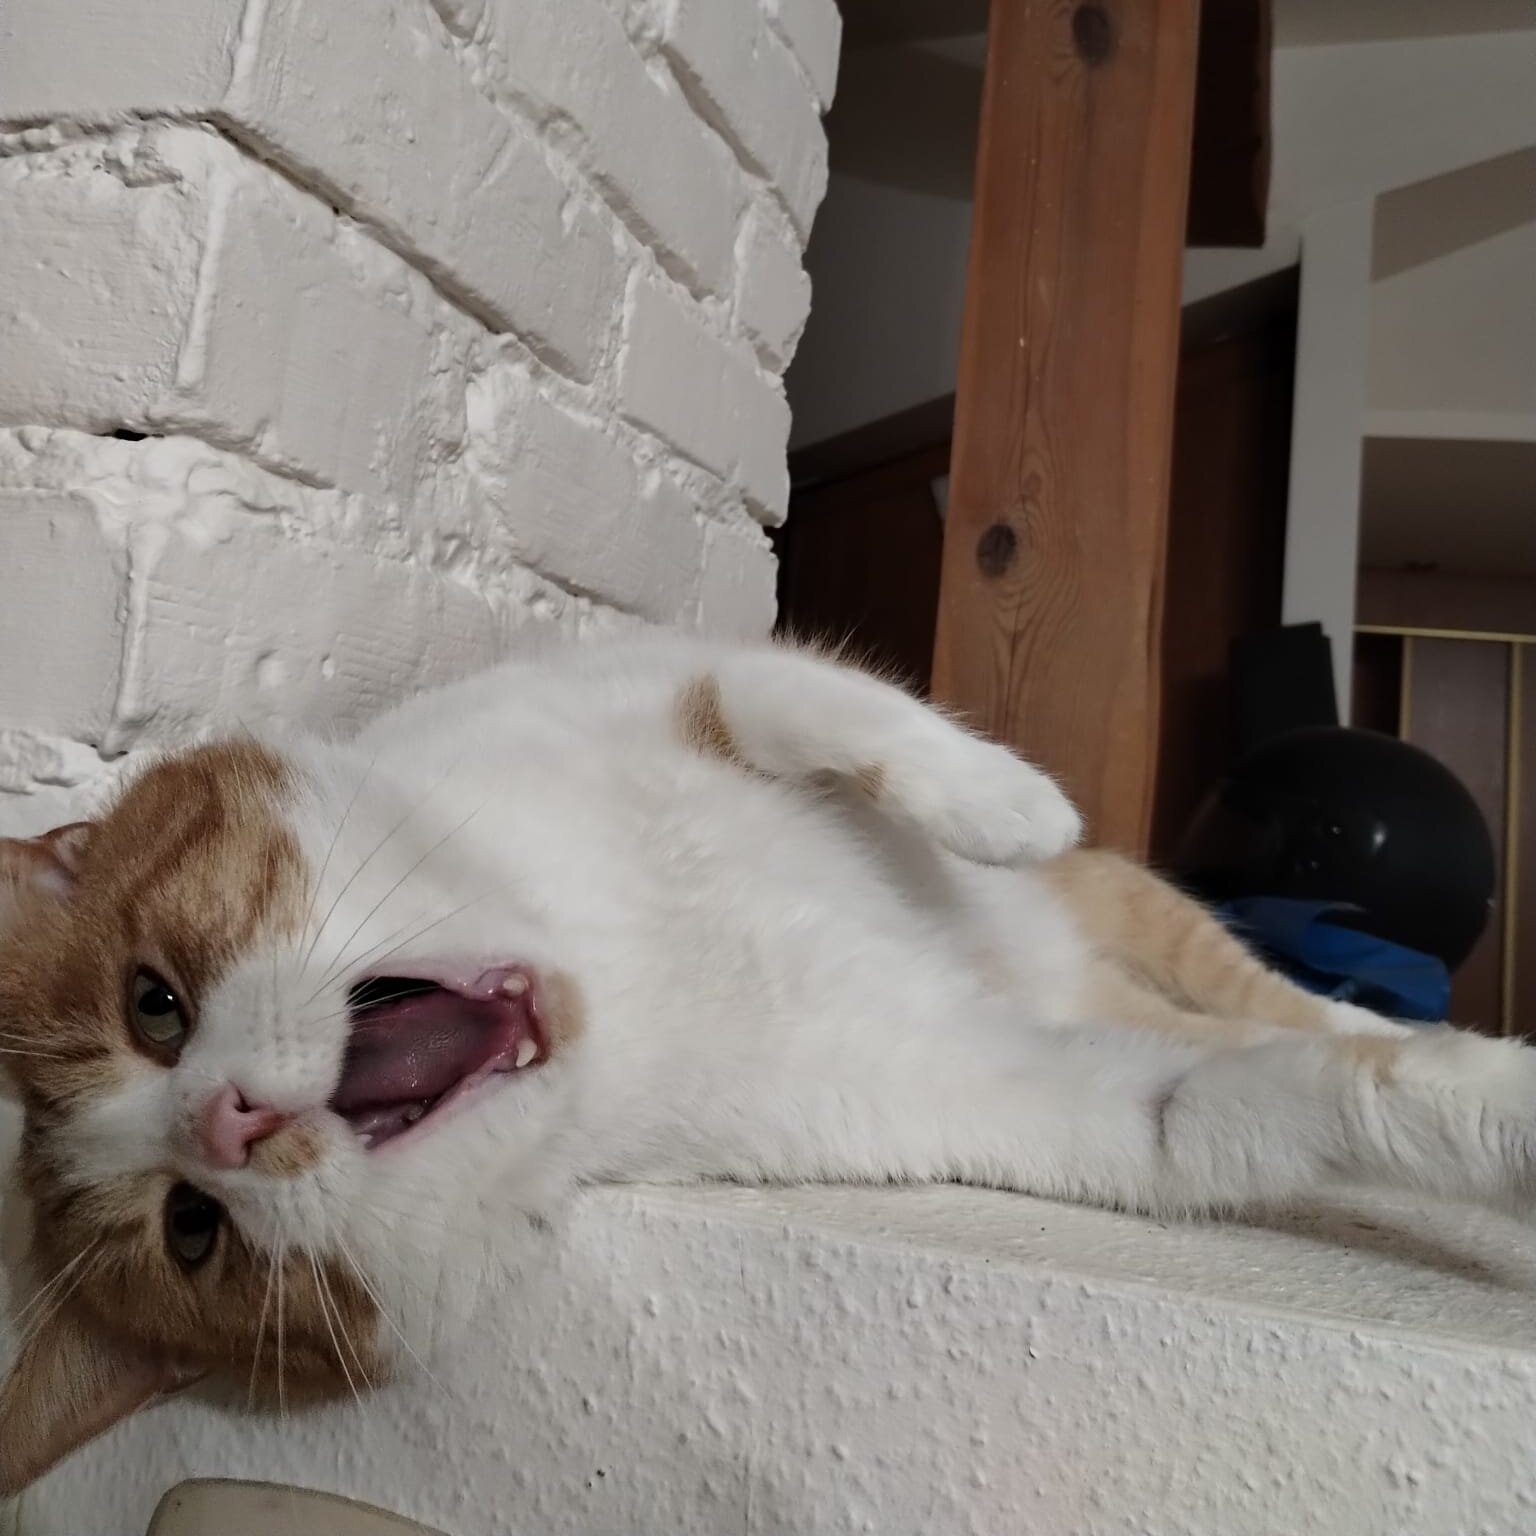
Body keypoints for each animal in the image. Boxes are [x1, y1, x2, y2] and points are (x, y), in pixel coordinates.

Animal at [0, 632, 1522, 1494]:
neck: (615, 965)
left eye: (154, 1005)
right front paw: (1496, 1118)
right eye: (193, 1233)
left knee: (1282, 1000)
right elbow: (1242, 1110)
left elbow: (801, 698)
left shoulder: (646, 682)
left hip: (1149, 918)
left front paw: (1004, 801)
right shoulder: (1034, 1098)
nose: (227, 1123)